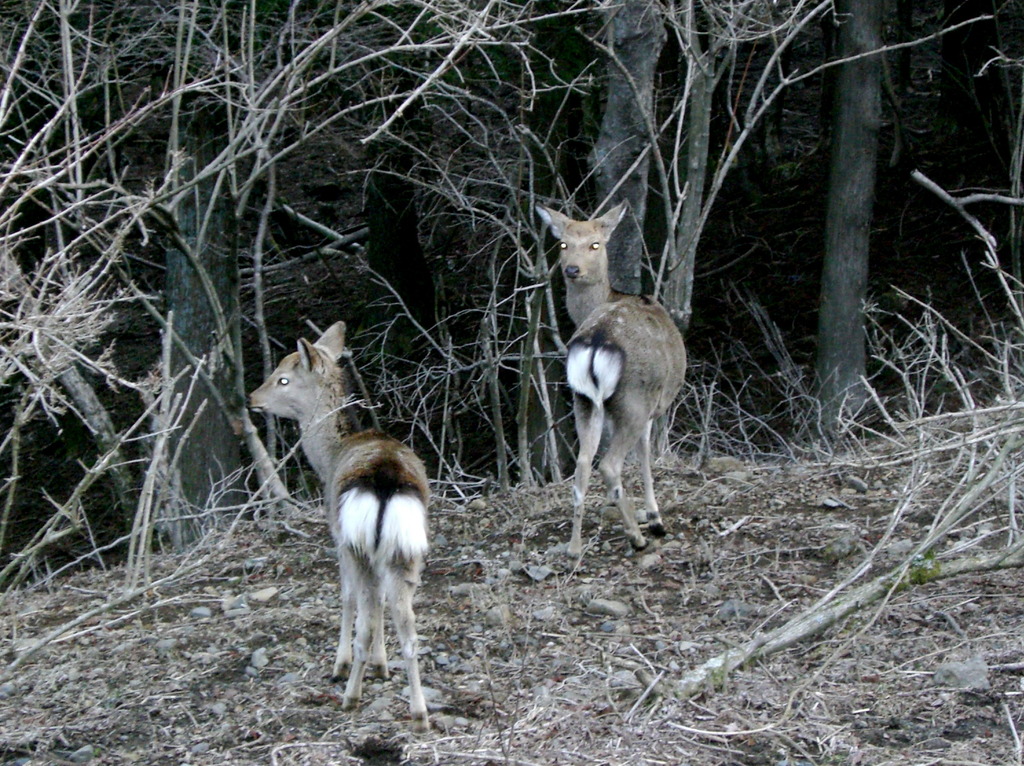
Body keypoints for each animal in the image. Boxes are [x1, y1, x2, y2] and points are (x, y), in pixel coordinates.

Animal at [249, 321, 430, 729]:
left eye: (283, 379)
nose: (251, 398)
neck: (329, 457)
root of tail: (385, 478)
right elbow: (379, 603)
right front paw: (381, 665)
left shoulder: (337, 536)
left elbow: (347, 598)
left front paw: (342, 663)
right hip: (407, 549)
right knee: (409, 628)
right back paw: (420, 712)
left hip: (357, 544)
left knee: (363, 613)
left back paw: (350, 694)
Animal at [536, 204, 688, 557]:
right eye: (563, 244)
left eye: (595, 244)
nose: (572, 269)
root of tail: (596, 343)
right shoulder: (652, 406)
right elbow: (646, 457)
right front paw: (655, 516)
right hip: (632, 399)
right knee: (609, 464)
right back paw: (638, 535)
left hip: (582, 400)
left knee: (582, 463)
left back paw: (574, 547)